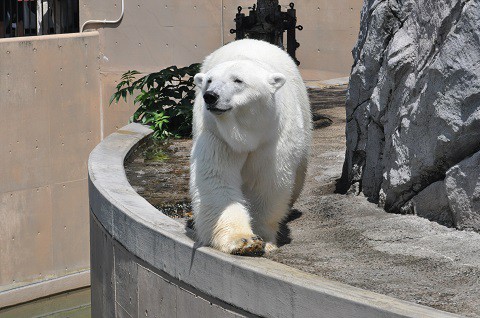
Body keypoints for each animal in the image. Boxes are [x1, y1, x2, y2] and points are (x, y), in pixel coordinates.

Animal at [189, 38, 314, 256]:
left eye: (238, 80)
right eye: (209, 81)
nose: (211, 96)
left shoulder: (272, 137)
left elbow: (267, 182)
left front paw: (264, 239)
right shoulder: (216, 135)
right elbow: (216, 179)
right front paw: (243, 241)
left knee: (299, 174)